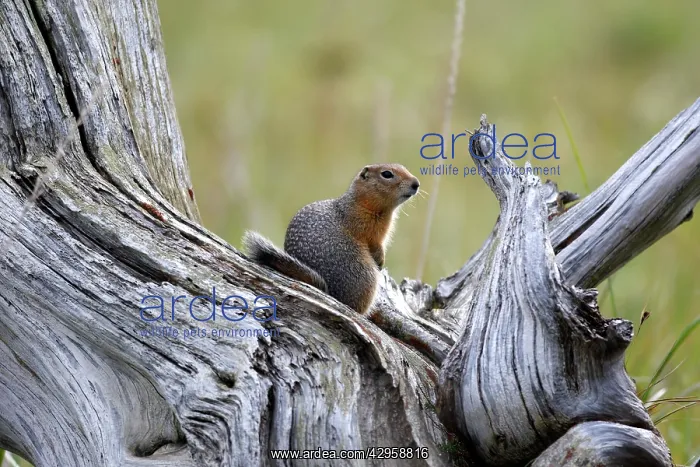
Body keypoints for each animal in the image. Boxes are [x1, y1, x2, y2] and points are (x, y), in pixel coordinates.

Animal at [243, 163, 420, 314]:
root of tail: (329, 291)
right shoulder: (365, 228)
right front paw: (380, 259)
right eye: (387, 174)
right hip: (366, 275)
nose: (416, 183)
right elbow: (374, 243)